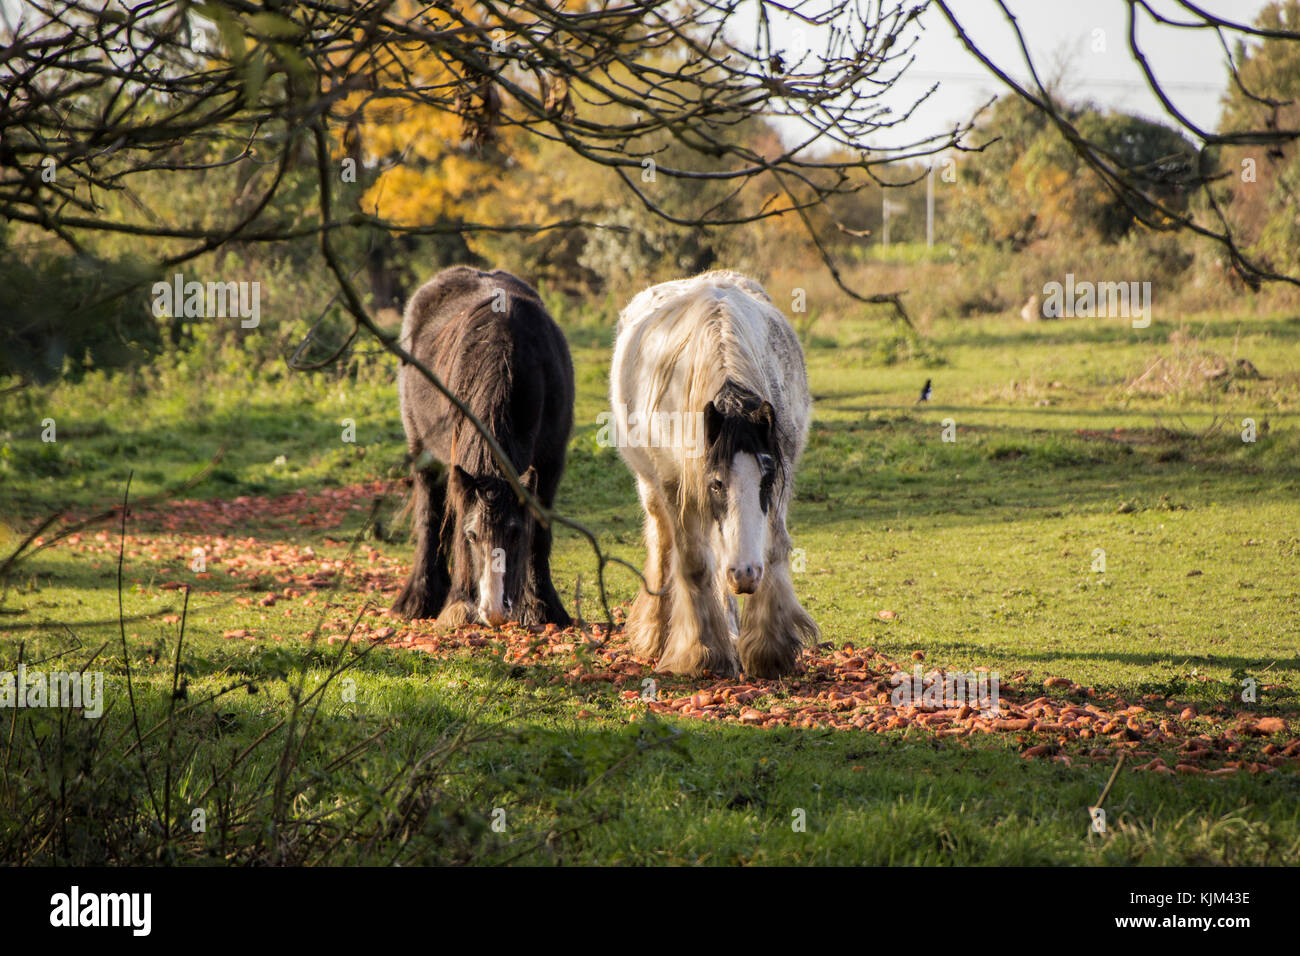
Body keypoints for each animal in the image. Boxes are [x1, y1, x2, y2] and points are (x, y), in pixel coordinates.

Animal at [391, 266, 574, 629]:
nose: (494, 612)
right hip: (422, 450)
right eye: (473, 536)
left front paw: (544, 607)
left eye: (515, 534)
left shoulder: (551, 464)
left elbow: (541, 533)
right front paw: (458, 604)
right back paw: (420, 599)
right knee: (430, 517)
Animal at [610, 270, 818, 678]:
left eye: (766, 479)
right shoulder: (676, 486)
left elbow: (774, 549)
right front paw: (700, 652)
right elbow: (692, 563)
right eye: (717, 483)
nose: (745, 575)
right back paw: (658, 633)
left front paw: (768, 648)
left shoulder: (780, 479)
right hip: (652, 488)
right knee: (664, 545)